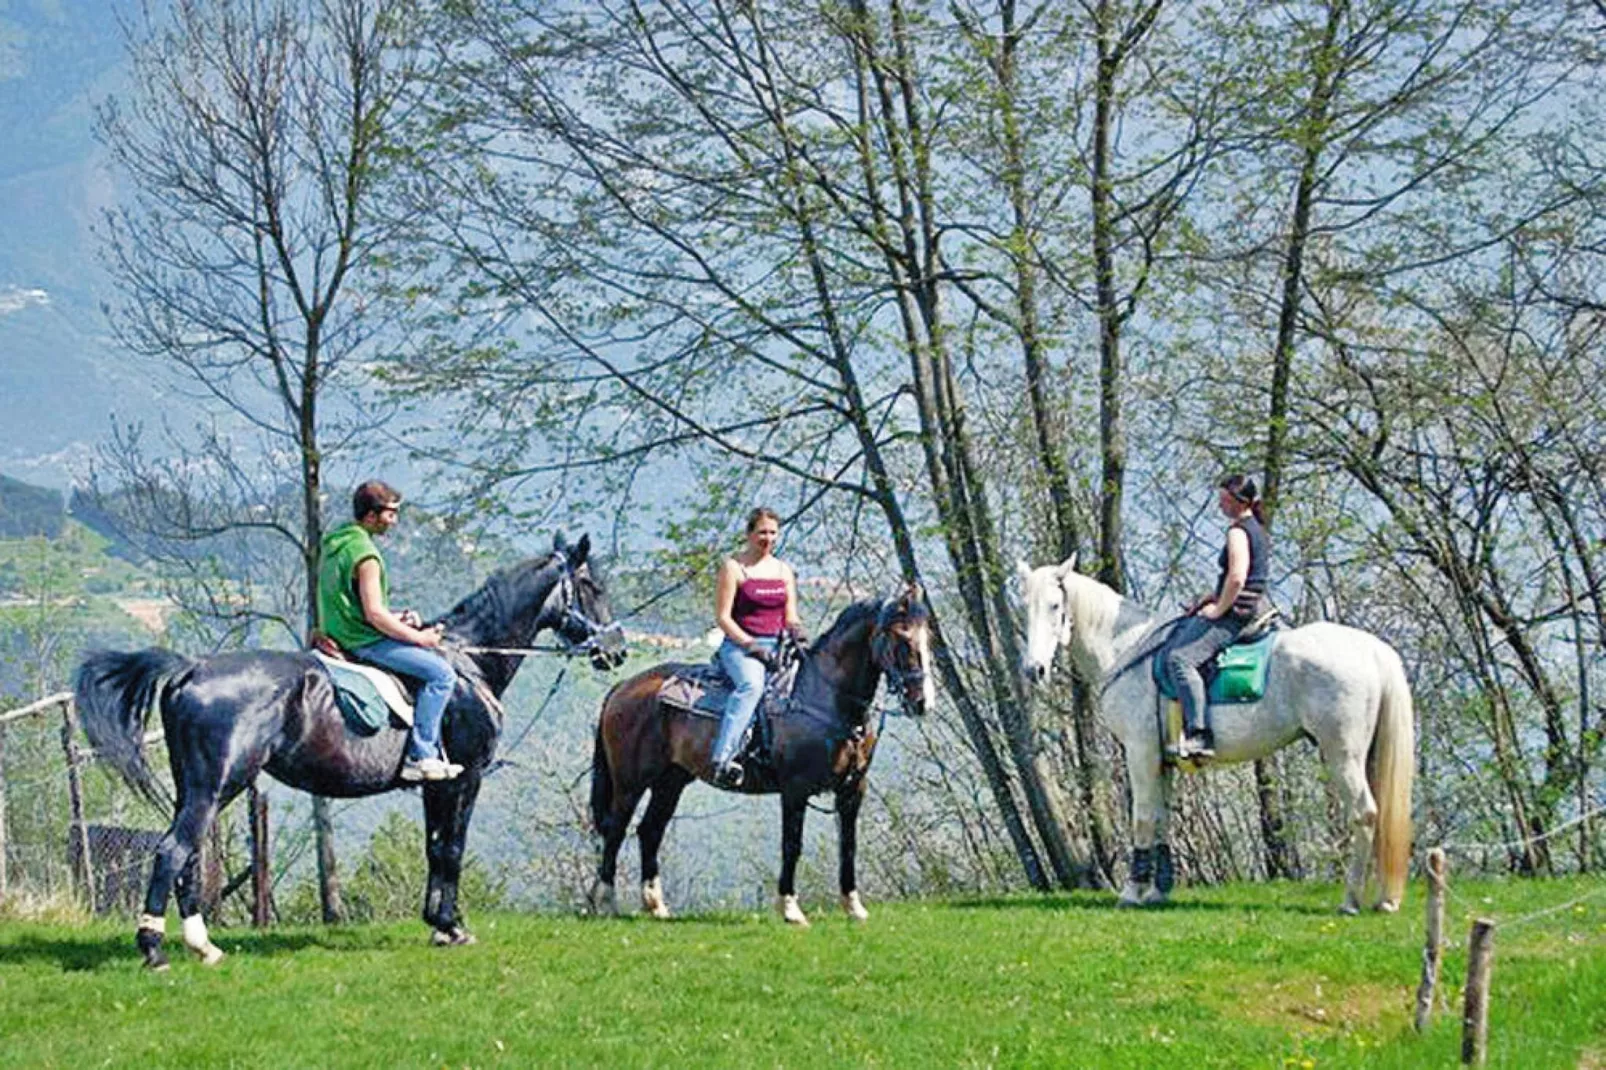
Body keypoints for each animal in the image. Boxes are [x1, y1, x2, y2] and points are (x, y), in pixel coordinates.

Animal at [78, 530, 623, 963]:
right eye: (593, 587)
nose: (616, 650)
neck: (469, 663)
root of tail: (191, 668)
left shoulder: (436, 787)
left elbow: (433, 848)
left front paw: (437, 923)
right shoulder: (465, 779)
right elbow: (452, 848)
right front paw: (452, 926)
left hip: (197, 788)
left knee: (188, 856)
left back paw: (203, 946)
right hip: (216, 785)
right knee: (173, 851)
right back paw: (154, 949)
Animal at [587, 584, 937, 925]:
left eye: (928, 639)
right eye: (903, 640)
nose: (923, 703)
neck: (824, 699)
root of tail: (623, 687)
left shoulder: (852, 790)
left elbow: (848, 845)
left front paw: (853, 907)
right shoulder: (795, 789)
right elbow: (791, 844)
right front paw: (790, 908)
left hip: (670, 782)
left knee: (650, 831)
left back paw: (655, 905)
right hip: (630, 783)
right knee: (616, 829)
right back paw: (605, 902)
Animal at [1021, 552, 1413, 912]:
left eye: (1055, 605)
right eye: (1025, 606)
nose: (1033, 670)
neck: (1126, 649)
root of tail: (1372, 649)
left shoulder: (1140, 752)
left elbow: (1144, 818)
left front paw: (1132, 893)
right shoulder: (1161, 759)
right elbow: (1162, 819)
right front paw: (1159, 891)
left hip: (1342, 755)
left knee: (1365, 814)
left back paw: (1350, 901)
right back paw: (1383, 900)